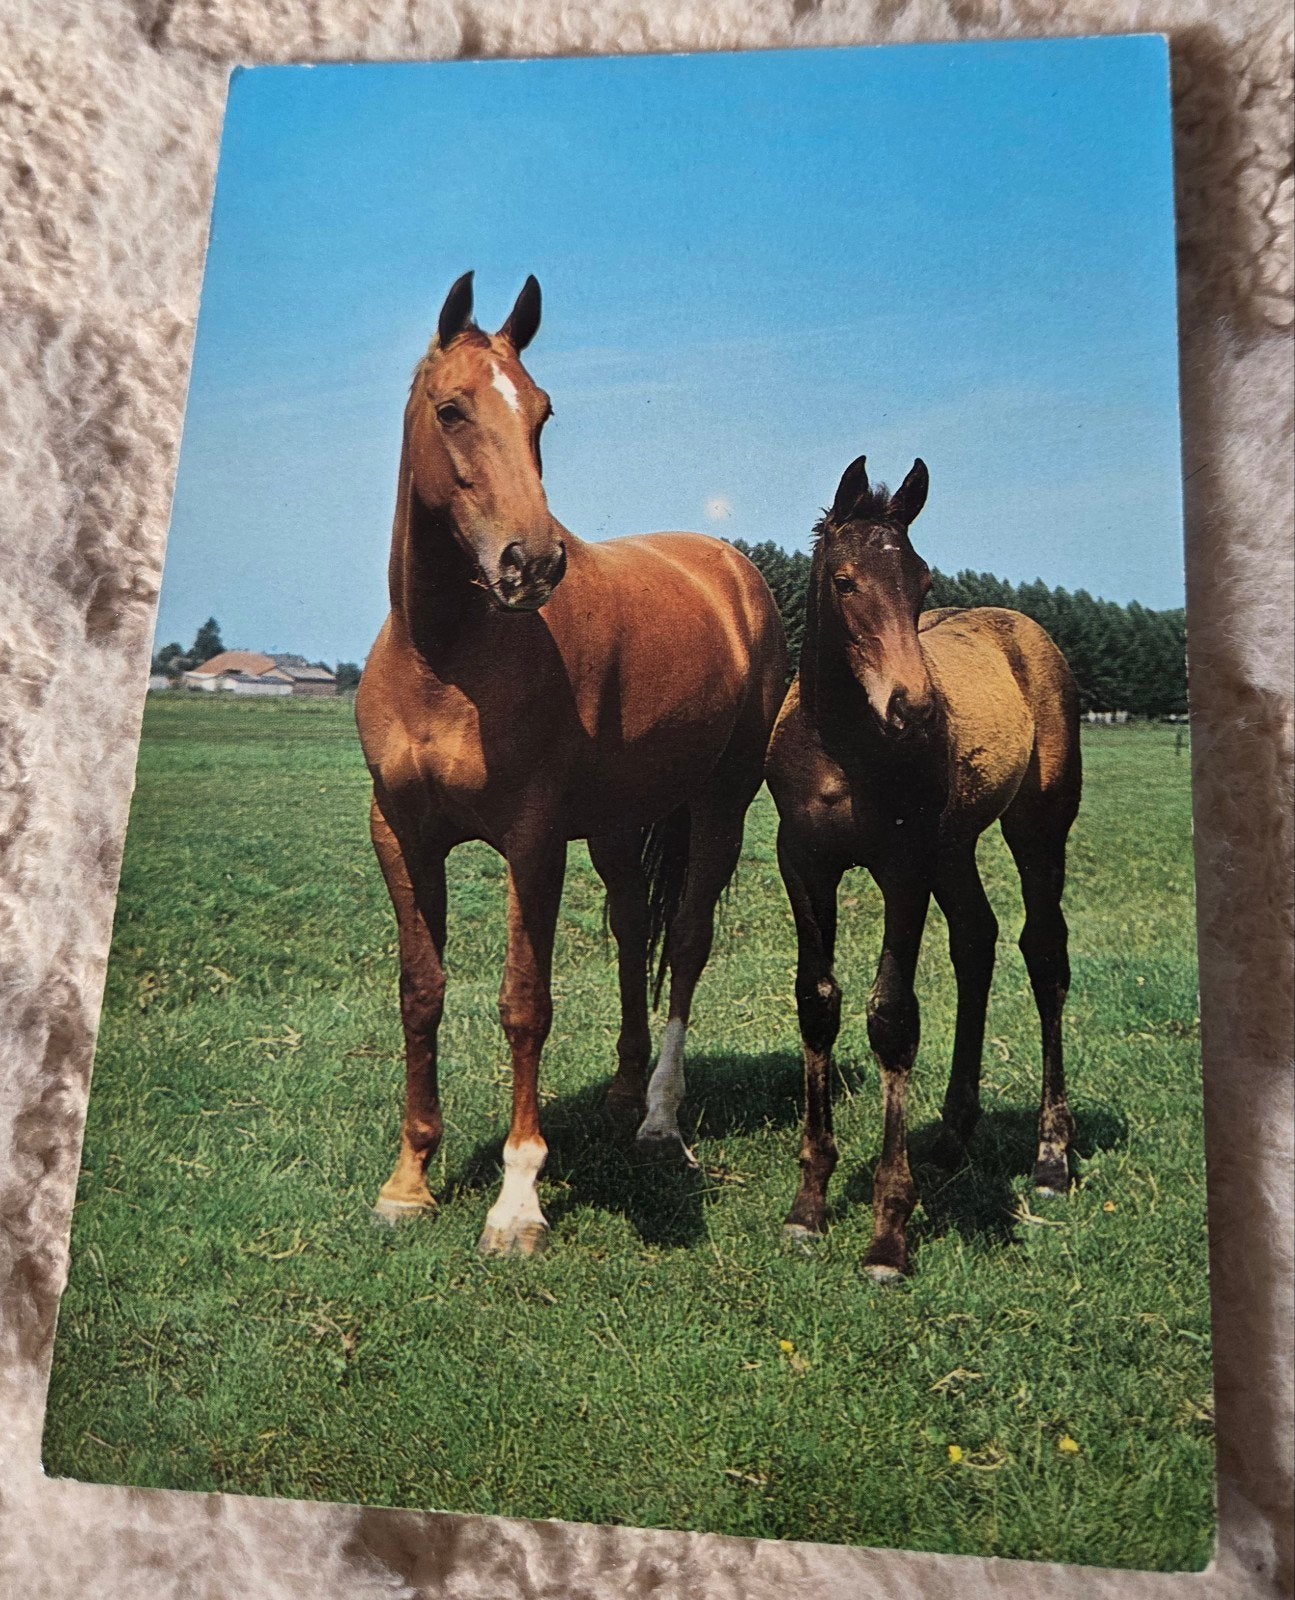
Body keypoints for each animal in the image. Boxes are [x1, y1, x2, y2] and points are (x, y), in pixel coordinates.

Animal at [356, 273, 788, 1256]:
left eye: (542, 413)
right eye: (451, 410)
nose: (534, 562)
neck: (444, 657)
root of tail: (734, 573)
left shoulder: (532, 842)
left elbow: (524, 1001)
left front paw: (518, 1199)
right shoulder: (400, 836)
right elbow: (420, 993)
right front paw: (409, 1180)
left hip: (721, 805)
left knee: (686, 945)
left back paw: (660, 1118)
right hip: (620, 826)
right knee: (633, 933)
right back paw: (625, 1091)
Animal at [765, 453, 1081, 1280]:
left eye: (923, 581)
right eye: (844, 580)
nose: (916, 708)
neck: (842, 746)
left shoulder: (901, 866)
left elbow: (891, 1016)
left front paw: (887, 1235)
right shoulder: (801, 863)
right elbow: (817, 1001)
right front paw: (807, 1207)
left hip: (1038, 827)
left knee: (1043, 953)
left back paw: (1050, 1157)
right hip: (954, 847)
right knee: (976, 940)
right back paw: (950, 1133)